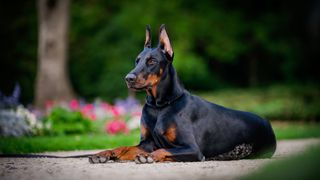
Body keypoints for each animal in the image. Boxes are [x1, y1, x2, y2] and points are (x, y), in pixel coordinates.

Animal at [89, 24, 276, 164]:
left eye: (152, 61)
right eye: (137, 60)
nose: (128, 78)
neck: (160, 106)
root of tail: (267, 122)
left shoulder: (192, 149)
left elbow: (163, 149)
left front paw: (149, 157)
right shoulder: (147, 142)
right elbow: (124, 147)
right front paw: (103, 153)